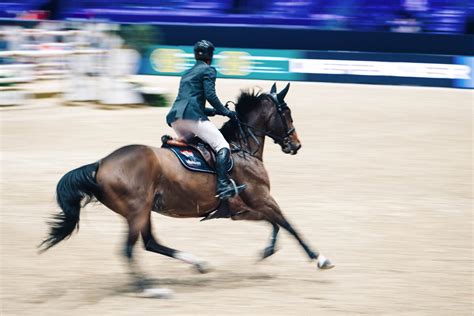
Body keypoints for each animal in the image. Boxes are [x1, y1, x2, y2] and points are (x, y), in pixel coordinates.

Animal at [39, 83, 334, 288]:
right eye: (287, 112)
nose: (295, 145)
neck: (241, 148)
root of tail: (100, 164)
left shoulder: (242, 210)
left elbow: (275, 224)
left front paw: (267, 251)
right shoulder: (261, 199)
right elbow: (288, 224)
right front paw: (319, 258)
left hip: (142, 211)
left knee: (151, 243)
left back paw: (197, 263)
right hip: (137, 210)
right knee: (130, 249)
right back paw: (150, 288)